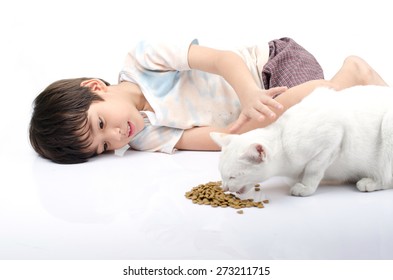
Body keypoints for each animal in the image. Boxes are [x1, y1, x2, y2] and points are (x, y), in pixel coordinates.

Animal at [211, 85, 393, 197]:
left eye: (233, 177)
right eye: (222, 176)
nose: (224, 188)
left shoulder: (332, 139)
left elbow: (313, 169)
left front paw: (305, 187)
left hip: (388, 127)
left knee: (387, 178)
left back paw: (369, 182)